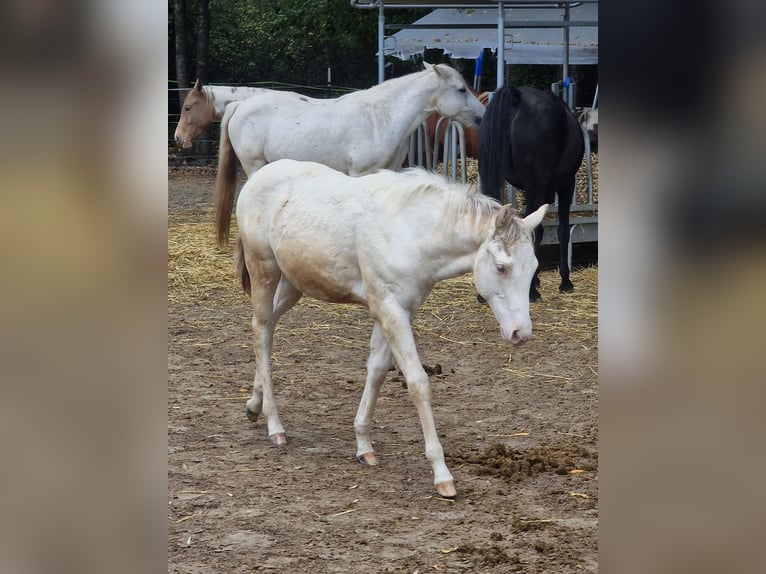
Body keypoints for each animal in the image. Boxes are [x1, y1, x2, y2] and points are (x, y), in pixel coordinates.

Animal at [215, 63, 486, 244]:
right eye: (461, 89)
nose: (482, 116)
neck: (382, 117)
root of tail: (239, 105)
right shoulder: (360, 173)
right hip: (254, 165)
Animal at [226, 159, 547, 498]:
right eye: (502, 267)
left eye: (534, 268)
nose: (520, 333)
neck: (411, 231)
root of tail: (259, 176)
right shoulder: (389, 309)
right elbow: (417, 382)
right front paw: (442, 474)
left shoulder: (399, 309)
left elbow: (378, 370)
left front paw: (363, 445)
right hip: (263, 270)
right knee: (262, 330)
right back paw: (275, 425)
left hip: (293, 284)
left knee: (266, 327)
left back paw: (254, 405)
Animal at [479, 86, 585, 301]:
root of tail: (517, 97)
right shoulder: (564, 185)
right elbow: (561, 231)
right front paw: (565, 281)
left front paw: (535, 279)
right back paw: (532, 293)